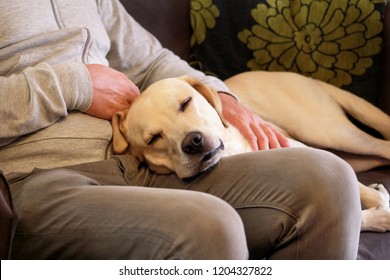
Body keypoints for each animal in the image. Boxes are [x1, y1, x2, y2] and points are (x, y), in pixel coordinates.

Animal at [112, 72, 390, 232]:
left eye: (185, 103)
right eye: (153, 138)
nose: (193, 142)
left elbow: (364, 194)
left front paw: (380, 204)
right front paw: (379, 215)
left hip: (326, 132)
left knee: (381, 147)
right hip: (345, 151)